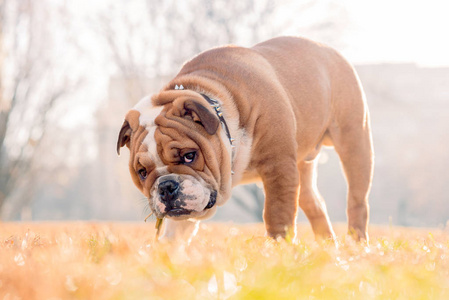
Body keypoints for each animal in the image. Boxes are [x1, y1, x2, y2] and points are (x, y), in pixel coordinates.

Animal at [117, 36, 372, 243]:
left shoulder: (279, 167)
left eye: (189, 156)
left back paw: (356, 245)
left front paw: (278, 248)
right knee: (314, 202)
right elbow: (174, 233)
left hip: (354, 141)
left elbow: (277, 213)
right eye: (142, 173)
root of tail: (329, 49)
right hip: (302, 166)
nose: (166, 186)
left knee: (357, 200)